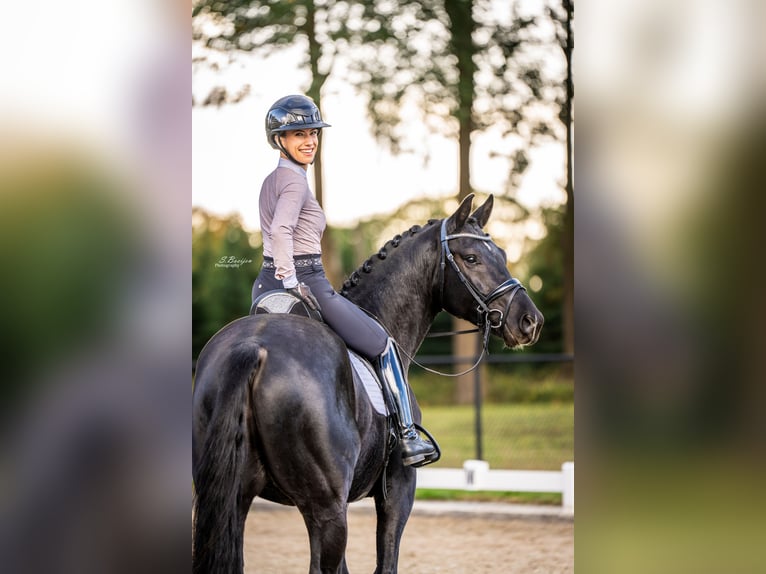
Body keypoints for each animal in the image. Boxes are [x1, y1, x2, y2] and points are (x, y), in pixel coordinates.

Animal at [192, 194, 544, 574]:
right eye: (471, 258)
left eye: (503, 255)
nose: (530, 321)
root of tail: (253, 346)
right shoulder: (399, 491)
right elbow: (385, 564)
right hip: (325, 509)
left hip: (235, 499)